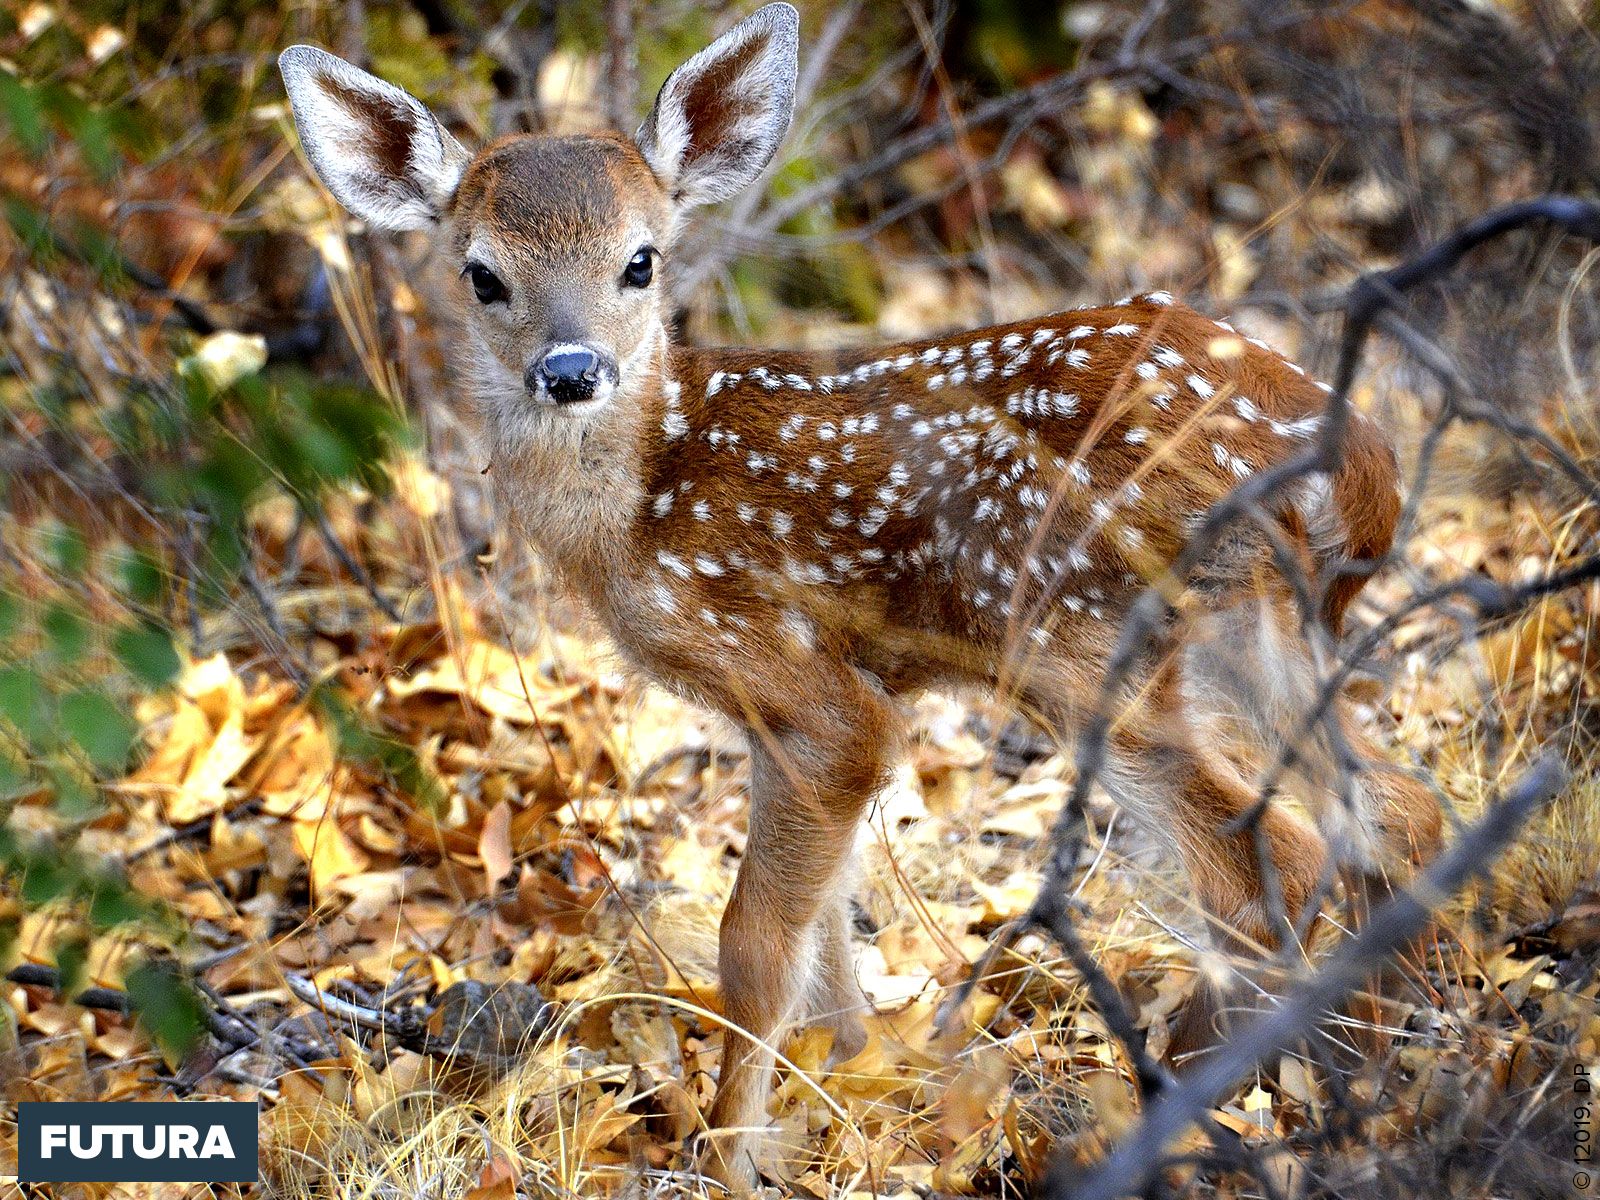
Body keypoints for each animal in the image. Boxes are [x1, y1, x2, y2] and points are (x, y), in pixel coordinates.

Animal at [279, 4, 1442, 1189]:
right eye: (482, 275)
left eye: (640, 261)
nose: (570, 370)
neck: (645, 500)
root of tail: (1355, 458)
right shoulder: (792, 712)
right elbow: (832, 933)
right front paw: (854, 1090)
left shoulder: (803, 683)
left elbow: (752, 944)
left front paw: (729, 1159)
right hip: (1261, 631)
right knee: (1393, 808)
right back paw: (1380, 1060)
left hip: (1079, 633)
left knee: (1267, 860)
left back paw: (1182, 1110)